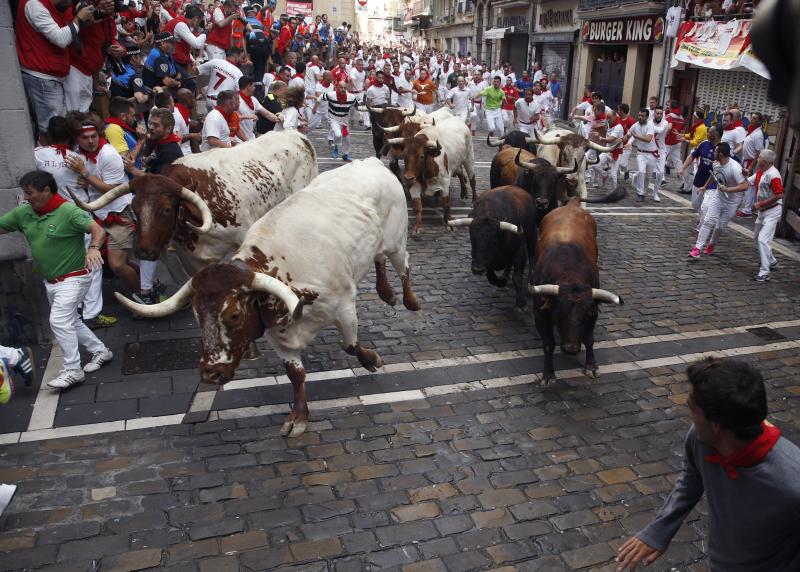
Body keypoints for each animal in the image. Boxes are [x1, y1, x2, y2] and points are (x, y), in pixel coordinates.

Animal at [117, 160, 424, 438]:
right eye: (196, 315)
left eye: (234, 315)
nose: (210, 374)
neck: (282, 269)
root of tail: (372, 162)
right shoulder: (277, 332)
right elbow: (295, 374)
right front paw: (298, 417)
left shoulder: (344, 308)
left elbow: (350, 345)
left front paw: (372, 359)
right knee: (379, 258)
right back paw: (387, 293)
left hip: (396, 240)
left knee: (403, 265)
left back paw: (409, 300)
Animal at [532, 198, 624, 384]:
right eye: (558, 313)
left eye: (585, 315)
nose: (571, 348)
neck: (569, 272)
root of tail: (571, 204)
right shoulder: (539, 314)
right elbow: (548, 344)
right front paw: (548, 375)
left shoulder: (594, 312)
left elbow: (589, 340)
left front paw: (591, 366)